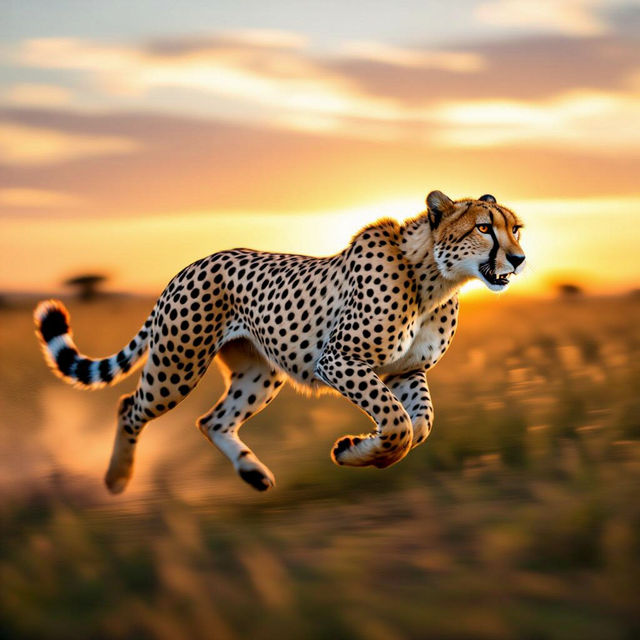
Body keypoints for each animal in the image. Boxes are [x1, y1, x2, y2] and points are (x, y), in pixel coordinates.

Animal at [34, 190, 525, 493]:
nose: (519, 259)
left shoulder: (407, 370)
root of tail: (193, 263)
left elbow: (420, 423)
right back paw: (118, 479)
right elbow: (399, 423)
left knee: (212, 420)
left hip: (260, 374)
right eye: (484, 228)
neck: (435, 278)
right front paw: (362, 451)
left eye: (516, 228)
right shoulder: (340, 360)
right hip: (177, 365)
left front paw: (357, 452)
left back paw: (252, 473)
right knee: (129, 408)